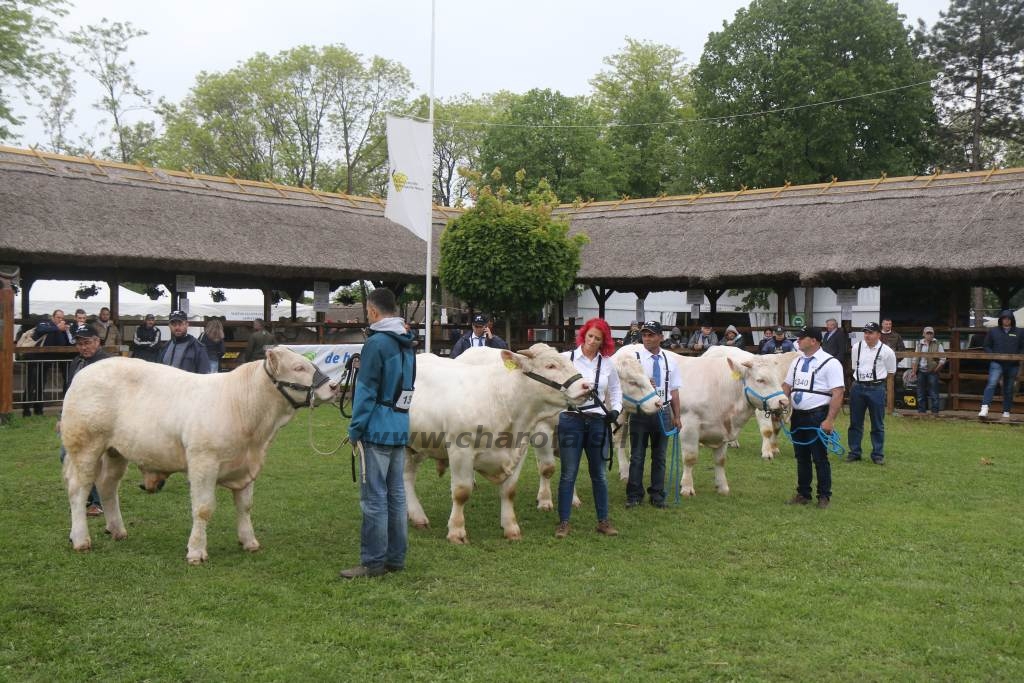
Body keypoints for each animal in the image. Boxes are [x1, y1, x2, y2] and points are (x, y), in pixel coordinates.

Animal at [59, 350, 337, 565]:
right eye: (298, 367)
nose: (334, 386)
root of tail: (83, 373)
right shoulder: (203, 462)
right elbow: (203, 509)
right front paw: (196, 551)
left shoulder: (247, 468)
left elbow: (245, 506)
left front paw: (249, 542)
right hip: (86, 446)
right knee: (79, 489)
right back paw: (81, 539)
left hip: (116, 451)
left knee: (108, 485)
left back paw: (117, 530)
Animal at [403, 348, 589, 544]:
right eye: (550, 365)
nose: (587, 385)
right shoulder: (460, 450)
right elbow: (461, 492)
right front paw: (456, 532)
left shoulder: (520, 450)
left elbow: (509, 491)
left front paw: (511, 529)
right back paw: (418, 516)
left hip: (416, 446)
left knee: (408, 475)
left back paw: (416, 516)